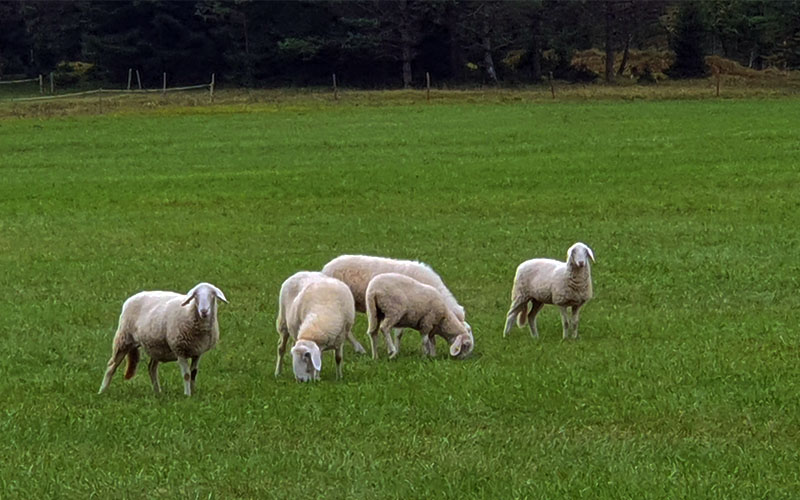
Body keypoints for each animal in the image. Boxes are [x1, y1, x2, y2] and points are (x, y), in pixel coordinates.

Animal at [98, 282, 228, 396]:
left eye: (212, 295)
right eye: (195, 296)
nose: (204, 311)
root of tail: (132, 297)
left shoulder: (198, 352)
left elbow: (193, 373)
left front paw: (193, 393)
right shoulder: (179, 349)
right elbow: (186, 375)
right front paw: (187, 395)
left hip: (156, 346)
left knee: (151, 368)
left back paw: (157, 392)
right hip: (124, 339)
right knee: (111, 366)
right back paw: (102, 391)